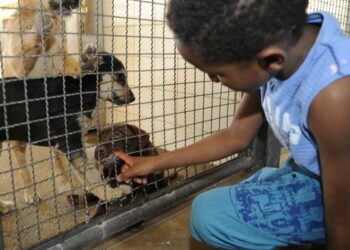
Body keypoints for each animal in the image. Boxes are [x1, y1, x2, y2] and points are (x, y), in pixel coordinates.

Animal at [0, 51, 135, 212]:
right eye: (120, 77)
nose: (133, 98)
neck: (78, 90)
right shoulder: (71, 142)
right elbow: (90, 173)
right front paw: (109, 193)